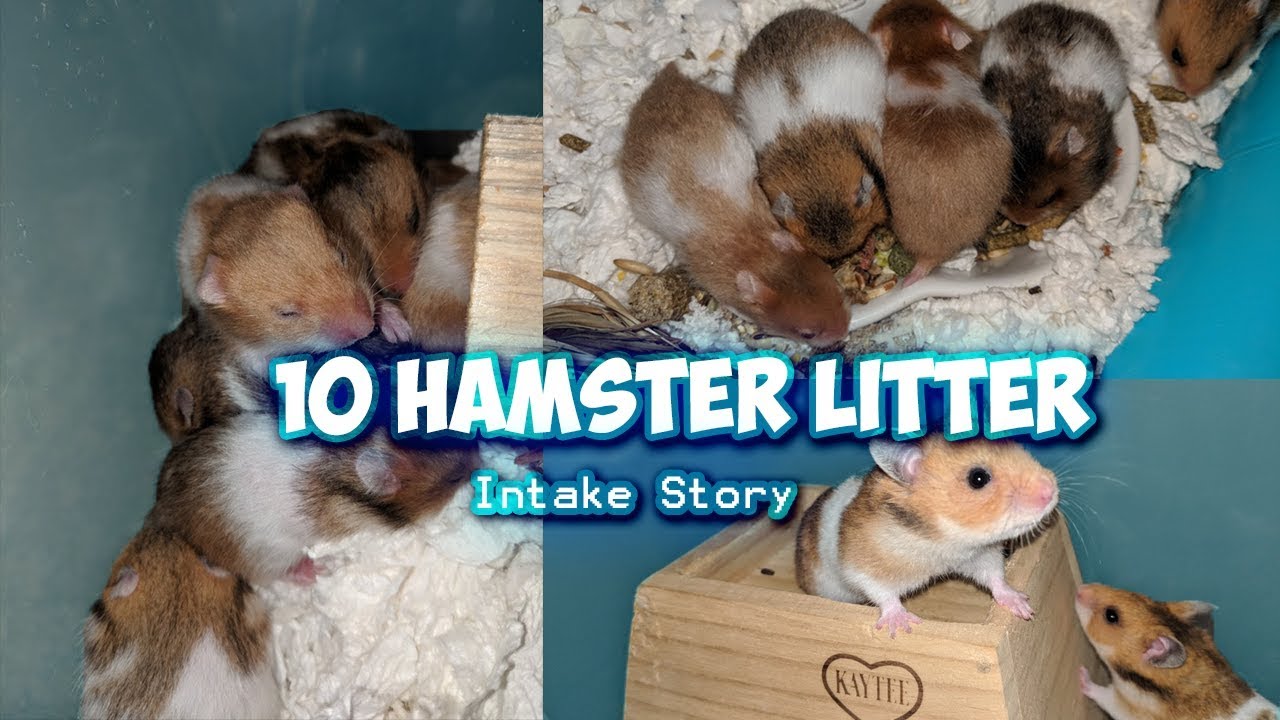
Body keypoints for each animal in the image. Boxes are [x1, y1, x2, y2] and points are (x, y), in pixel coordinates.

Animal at [795, 435, 1059, 637]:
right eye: (978, 478)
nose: (1052, 490)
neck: (943, 537)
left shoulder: (981, 555)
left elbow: (995, 578)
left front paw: (1024, 608)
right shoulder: (861, 565)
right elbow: (882, 592)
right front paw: (901, 627)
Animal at [1075, 583, 1277, 720]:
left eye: (1111, 616)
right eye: (1135, 594)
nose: (1080, 588)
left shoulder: (1124, 707)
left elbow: (1102, 694)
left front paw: (1082, 674)